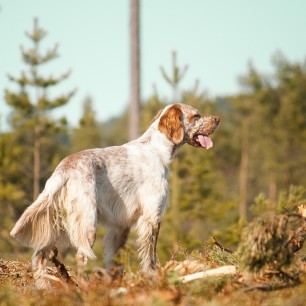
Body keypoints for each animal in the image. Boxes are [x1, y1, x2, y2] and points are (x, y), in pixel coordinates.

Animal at [10, 104, 219, 288]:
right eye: (196, 116)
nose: (217, 119)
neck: (156, 150)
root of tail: (64, 169)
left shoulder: (120, 225)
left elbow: (115, 262)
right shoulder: (152, 217)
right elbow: (150, 257)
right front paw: (152, 279)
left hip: (56, 223)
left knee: (39, 255)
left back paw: (44, 288)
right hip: (86, 224)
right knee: (80, 257)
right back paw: (83, 288)